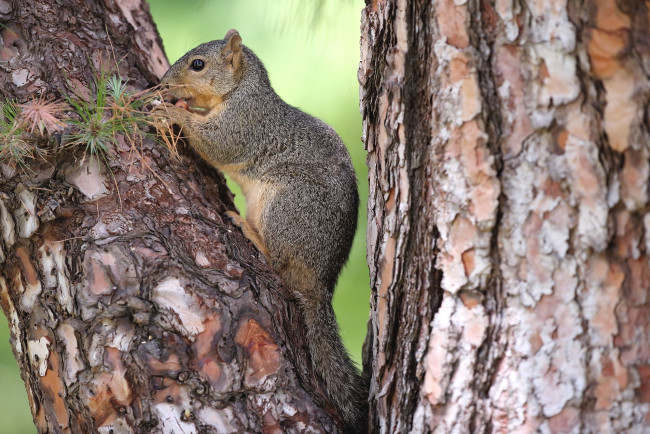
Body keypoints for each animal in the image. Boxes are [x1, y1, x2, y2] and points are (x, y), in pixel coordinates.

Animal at [158, 29, 364, 430]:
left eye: (197, 64)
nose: (163, 84)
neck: (240, 90)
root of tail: (321, 281)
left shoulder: (246, 124)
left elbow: (217, 144)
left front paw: (171, 110)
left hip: (286, 205)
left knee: (278, 261)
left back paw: (249, 230)